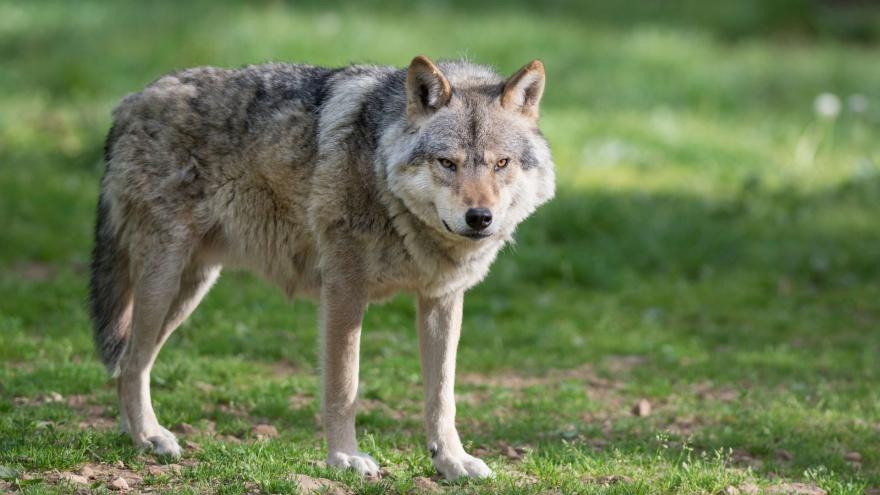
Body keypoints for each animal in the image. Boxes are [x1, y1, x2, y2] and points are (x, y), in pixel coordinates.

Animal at [89, 55, 554, 479]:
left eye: (501, 163)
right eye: (447, 163)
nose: (479, 218)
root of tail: (130, 102)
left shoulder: (441, 298)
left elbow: (442, 395)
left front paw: (452, 462)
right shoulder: (344, 289)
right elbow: (343, 386)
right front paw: (345, 458)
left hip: (191, 288)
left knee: (129, 362)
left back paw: (135, 435)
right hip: (165, 281)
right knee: (131, 362)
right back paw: (149, 436)